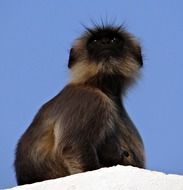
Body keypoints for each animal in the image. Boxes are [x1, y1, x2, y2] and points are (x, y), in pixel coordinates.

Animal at [14, 23, 145, 185]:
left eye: (115, 40)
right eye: (95, 41)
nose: (106, 42)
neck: (101, 88)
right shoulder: (90, 99)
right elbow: (74, 148)